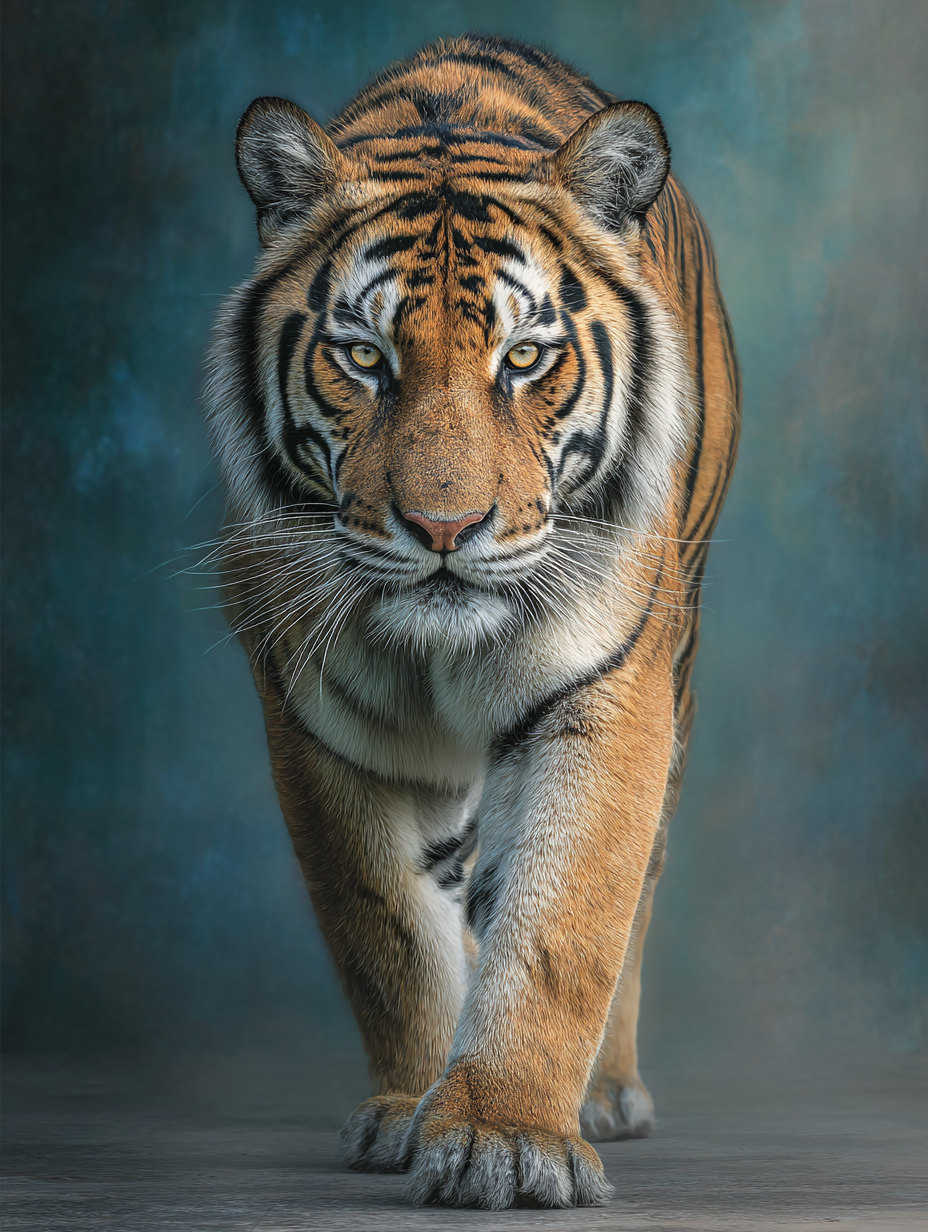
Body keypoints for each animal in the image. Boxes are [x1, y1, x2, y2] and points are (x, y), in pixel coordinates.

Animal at [205, 33, 740, 1210]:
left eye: (525, 358)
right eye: (364, 358)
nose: (445, 526)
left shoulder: (605, 693)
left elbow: (559, 925)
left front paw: (508, 1135)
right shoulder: (317, 723)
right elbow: (388, 933)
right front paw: (414, 1108)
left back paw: (605, 1093)